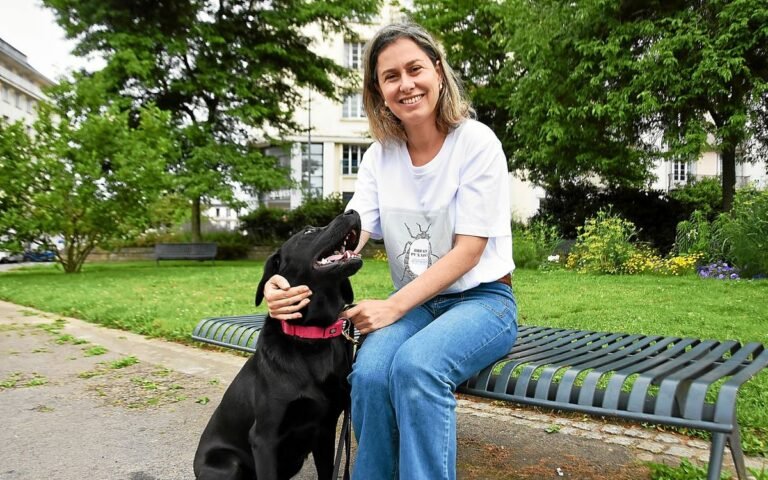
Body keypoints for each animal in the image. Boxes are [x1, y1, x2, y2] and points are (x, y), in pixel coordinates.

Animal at [196, 210, 364, 480]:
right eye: (308, 231)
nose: (352, 212)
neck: (310, 337)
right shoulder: (264, 438)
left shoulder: (325, 429)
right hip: (228, 464)